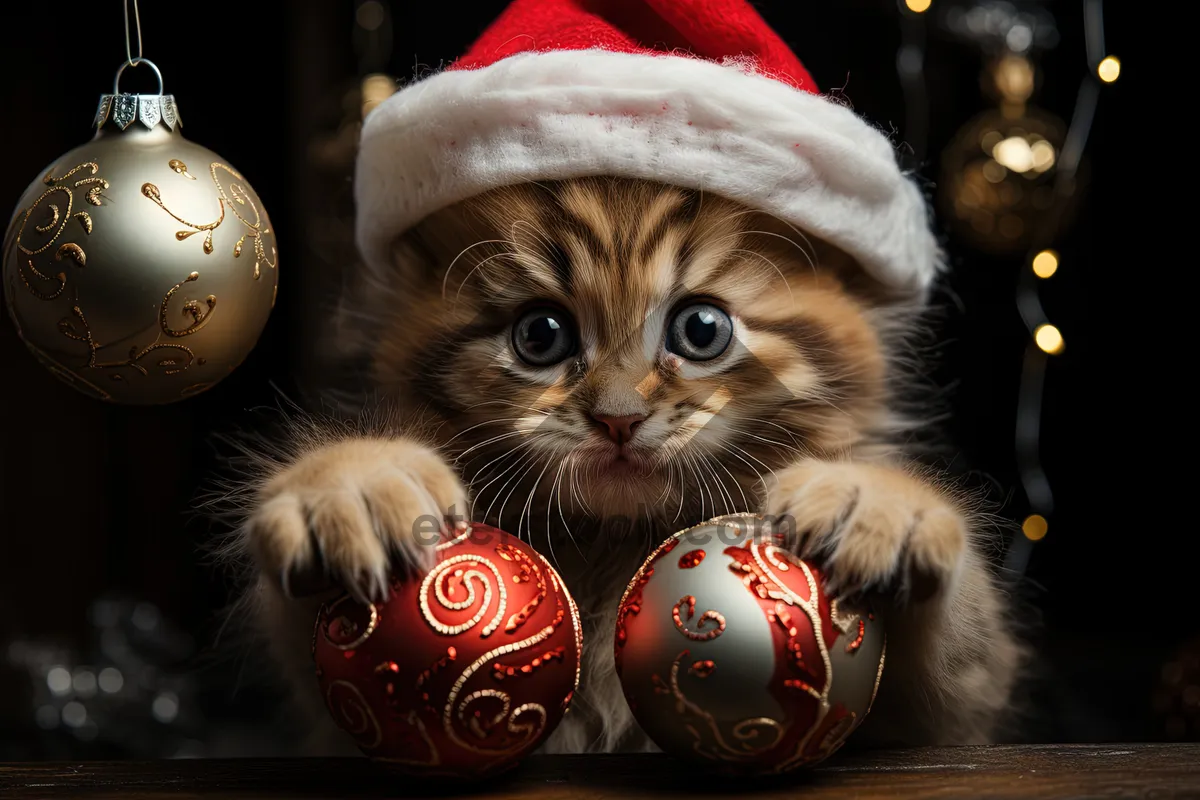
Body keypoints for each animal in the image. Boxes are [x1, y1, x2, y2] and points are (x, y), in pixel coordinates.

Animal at [231, 176, 1022, 758]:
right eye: (540, 335)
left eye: (701, 330)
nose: (617, 419)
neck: (614, 552)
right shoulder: (323, 725)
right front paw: (348, 487)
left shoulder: (952, 720)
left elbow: (953, 658)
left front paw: (882, 507)